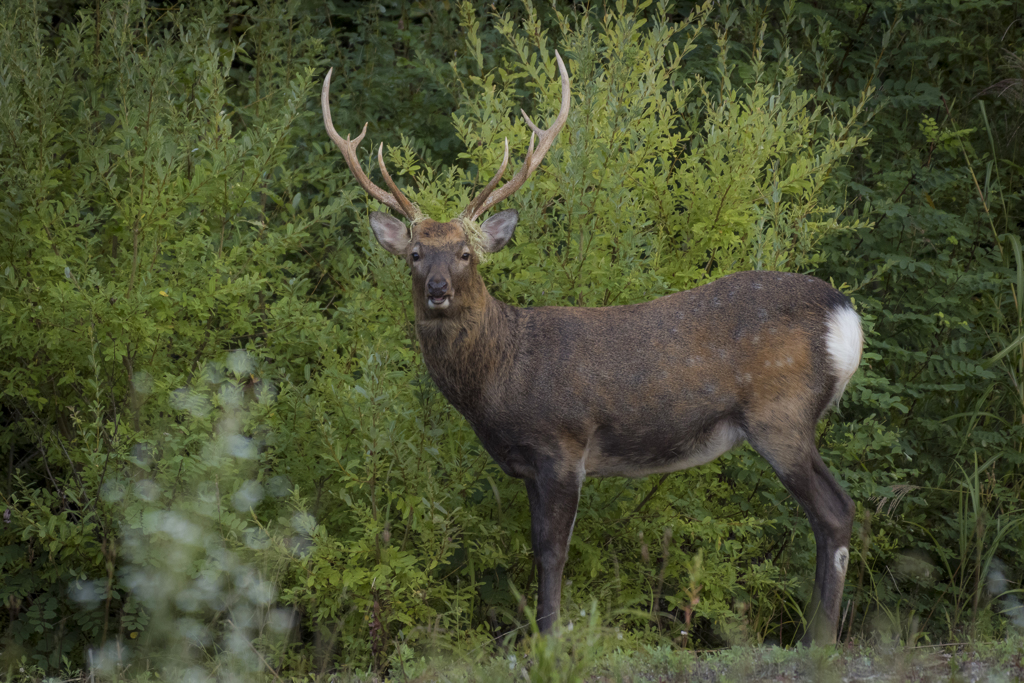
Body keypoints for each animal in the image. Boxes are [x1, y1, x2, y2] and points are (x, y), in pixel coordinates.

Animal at [321, 53, 864, 647]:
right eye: (415, 254)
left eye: (466, 253)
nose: (438, 289)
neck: (501, 375)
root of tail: (846, 317)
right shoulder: (530, 466)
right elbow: (537, 548)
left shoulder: (564, 445)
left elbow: (552, 551)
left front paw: (549, 640)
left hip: (780, 413)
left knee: (835, 512)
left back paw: (818, 640)